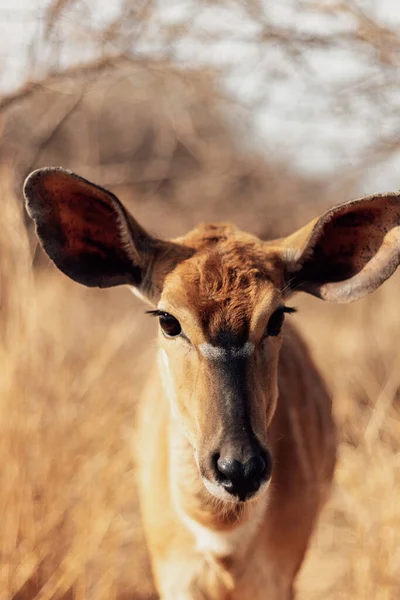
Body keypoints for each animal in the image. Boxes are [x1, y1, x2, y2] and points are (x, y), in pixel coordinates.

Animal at [24, 168, 400, 600]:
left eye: (276, 317)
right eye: (168, 320)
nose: (240, 468)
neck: (222, 537)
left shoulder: (278, 578)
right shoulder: (175, 578)